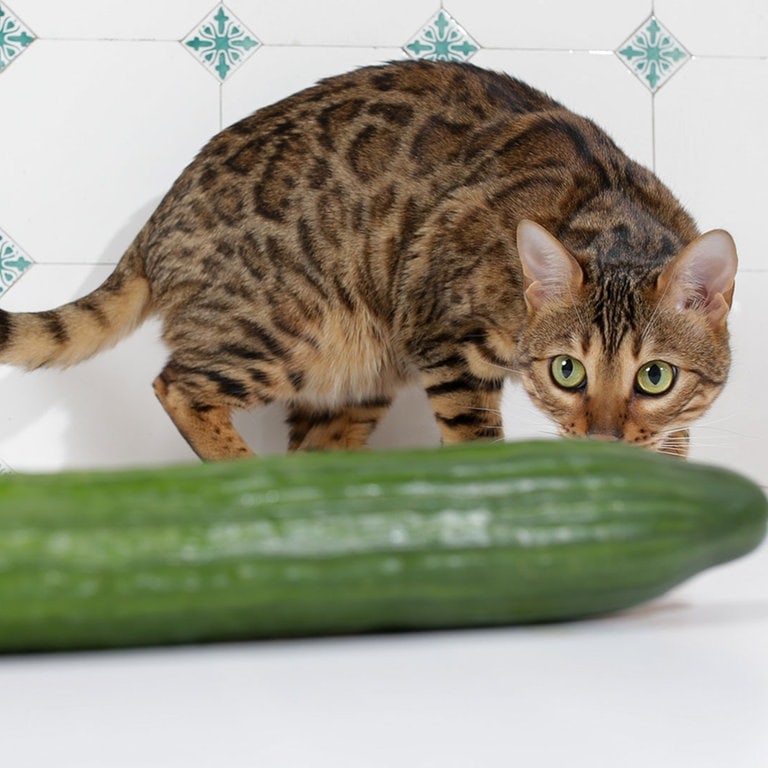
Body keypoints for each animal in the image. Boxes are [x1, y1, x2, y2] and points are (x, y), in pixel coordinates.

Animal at [0, 60, 736, 460]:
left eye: (655, 378)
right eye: (567, 371)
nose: (604, 436)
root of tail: (156, 224)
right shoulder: (450, 342)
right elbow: (475, 441)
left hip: (361, 367)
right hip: (288, 330)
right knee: (179, 386)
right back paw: (245, 471)